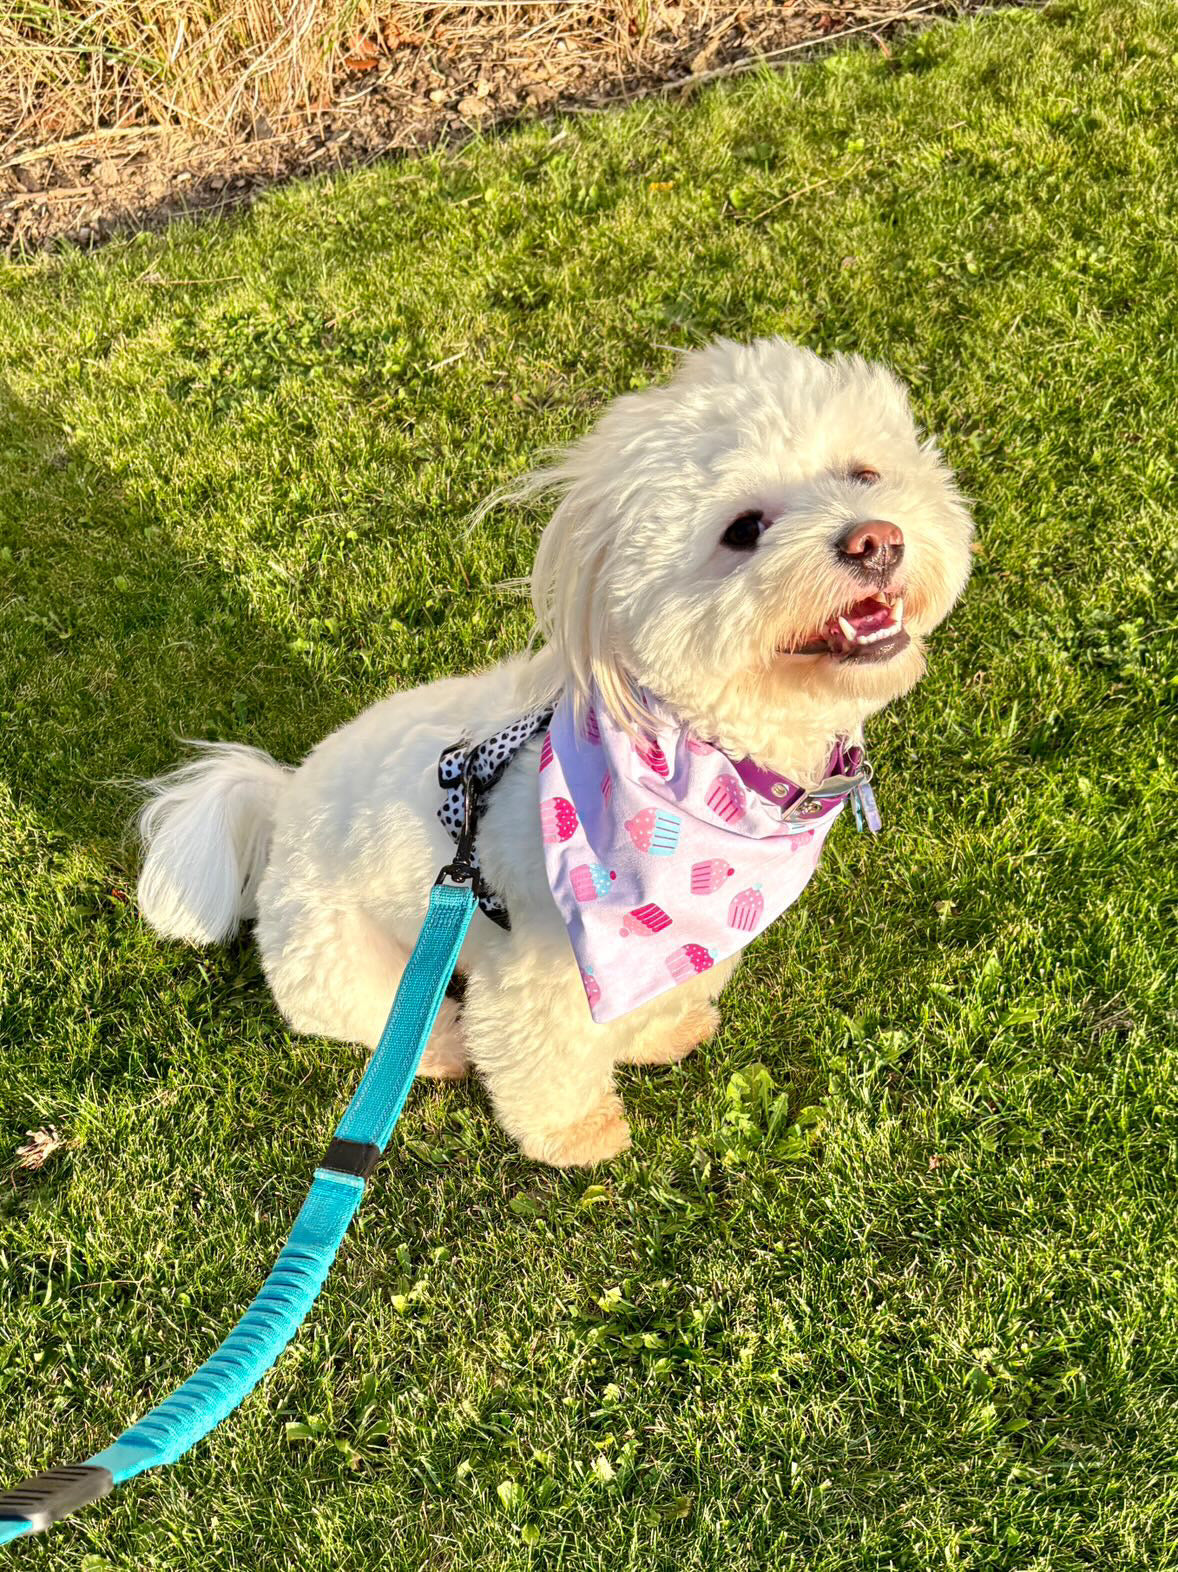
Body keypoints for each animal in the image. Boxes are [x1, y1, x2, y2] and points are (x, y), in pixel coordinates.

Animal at [137, 337, 968, 1163]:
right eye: (742, 530)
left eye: (863, 473)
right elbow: (543, 1057)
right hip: (340, 961)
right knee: (392, 1022)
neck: (706, 772)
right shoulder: (543, 968)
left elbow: (658, 995)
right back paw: (439, 1049)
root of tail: (280, 805)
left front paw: (660, 1033)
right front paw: (579, 1134)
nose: (875, 538)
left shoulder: (668, 946)